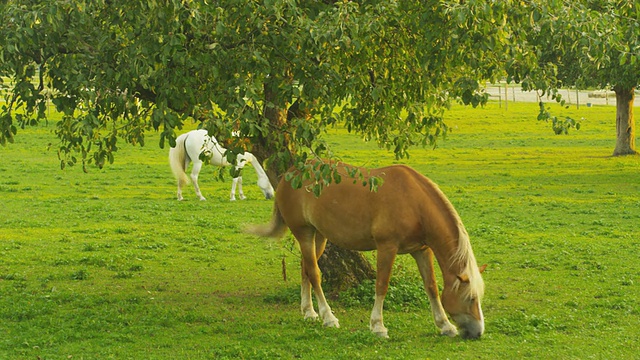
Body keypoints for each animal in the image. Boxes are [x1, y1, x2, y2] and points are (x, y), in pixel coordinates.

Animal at [248, 162, 488, 338]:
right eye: (470, 298)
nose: (478, 333)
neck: (413, 202)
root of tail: (290, 174)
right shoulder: (387, 247)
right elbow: (381, 285)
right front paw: (378, 326)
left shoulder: (422, 250)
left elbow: (431, 287)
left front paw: (445, 325)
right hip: (304, 233)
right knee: (315, 274)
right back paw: (328, 317)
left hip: (319, 236)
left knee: (305, 268)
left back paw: (309, 312)